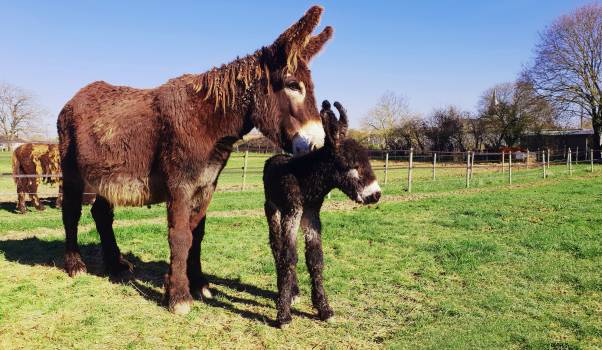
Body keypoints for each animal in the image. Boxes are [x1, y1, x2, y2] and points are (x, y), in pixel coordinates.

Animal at [262, 101, 380, 328]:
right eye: (351, 165)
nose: (376, 195)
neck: (305, 180)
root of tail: (275, 156)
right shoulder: (293, 212)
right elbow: (289, 257)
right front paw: (283, 314)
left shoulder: (311, 215)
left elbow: (315, 258)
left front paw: (324, 309)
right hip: (272, 208)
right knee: (276, 246)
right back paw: (286, 292)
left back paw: (293, 292)